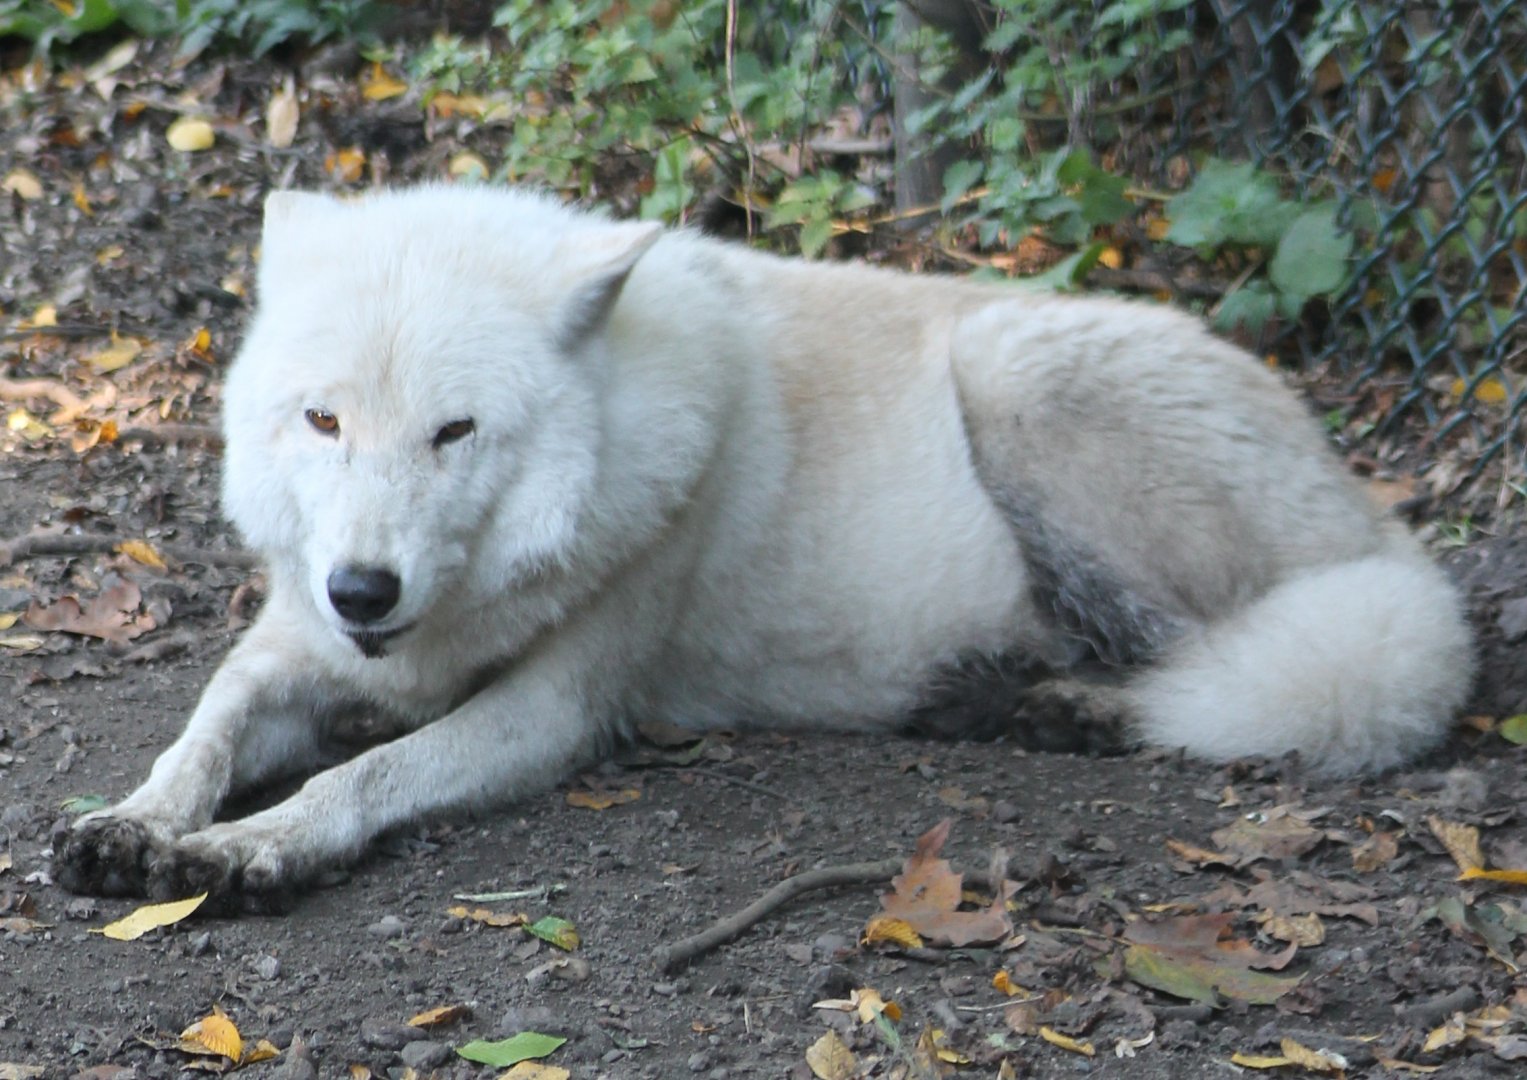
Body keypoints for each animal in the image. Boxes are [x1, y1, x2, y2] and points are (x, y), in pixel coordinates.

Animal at [58, 185, 1474, 908]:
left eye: (455, 432)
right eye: (324, 419)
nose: (364, 588)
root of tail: (1386, 527)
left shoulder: (553, 713)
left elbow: (364, 776)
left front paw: (252, 850)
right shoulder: (295, 645)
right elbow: (203, 733)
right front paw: (136, 824)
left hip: (1018, 378)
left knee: (1222, 667)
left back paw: (1059, 708)